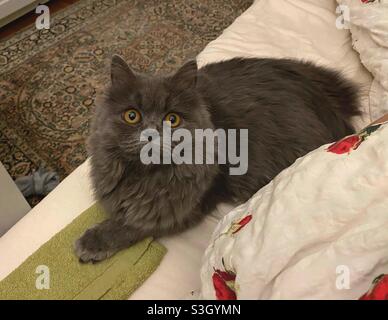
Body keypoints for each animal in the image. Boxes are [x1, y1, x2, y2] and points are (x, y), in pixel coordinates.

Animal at [76, 55, 360, 262]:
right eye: (132, 116)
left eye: (172, 119)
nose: (152, 135)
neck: (146, 177)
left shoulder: (182, 208)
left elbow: (132, 224)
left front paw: (92, 242)